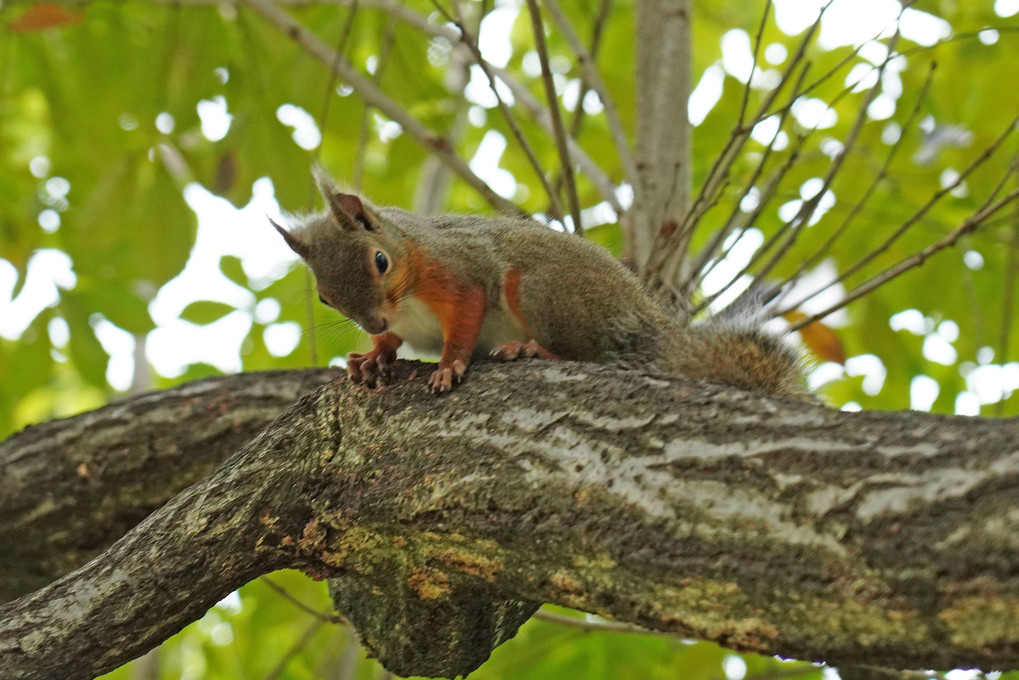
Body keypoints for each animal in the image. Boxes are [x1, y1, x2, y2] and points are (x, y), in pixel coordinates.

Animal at [269, 171, 802, 399]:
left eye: (380, 261)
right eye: (324, 297)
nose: (374, 320)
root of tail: (649, 323)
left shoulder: (459, 271)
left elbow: (464, 320)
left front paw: (449, 366)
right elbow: (392, 342)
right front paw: (372, 356)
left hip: (543, 290)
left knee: (589, 355)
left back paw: (530, 350)